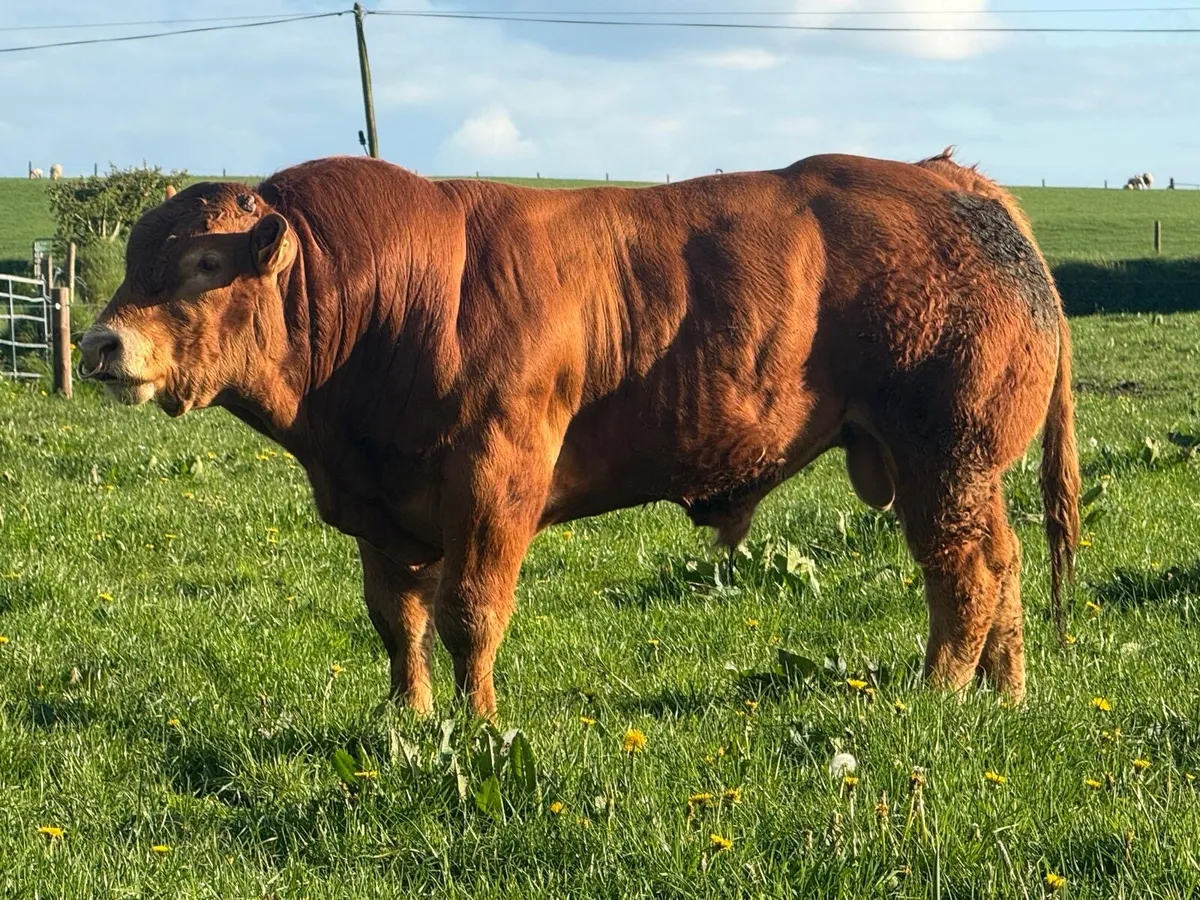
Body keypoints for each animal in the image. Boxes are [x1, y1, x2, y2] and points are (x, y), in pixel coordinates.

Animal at [78, 151, 1080, 718]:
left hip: (943, 455)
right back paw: (1004, 695)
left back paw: (938, 696)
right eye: (135, 258)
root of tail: (959, 183)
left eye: (205, 264)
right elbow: (396, 619)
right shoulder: (380, 508)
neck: (394, 301)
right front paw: (406, 718)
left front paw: (477, 724)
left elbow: (469, 613)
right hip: (964, 468)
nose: (99, 343)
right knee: (1003, 565)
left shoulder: (496, 481)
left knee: (965, 573)